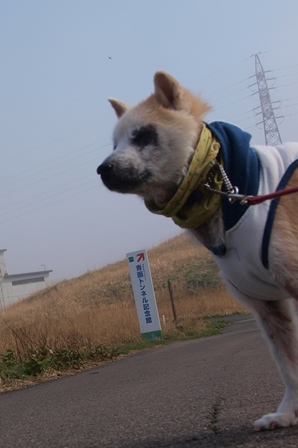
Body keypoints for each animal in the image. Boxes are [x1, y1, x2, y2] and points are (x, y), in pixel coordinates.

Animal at [98, 71, 298, 430]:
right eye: (114, 144)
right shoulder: (268, 307)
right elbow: (289, 367)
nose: (102, 169)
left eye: (143, 134)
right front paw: (287, 412)